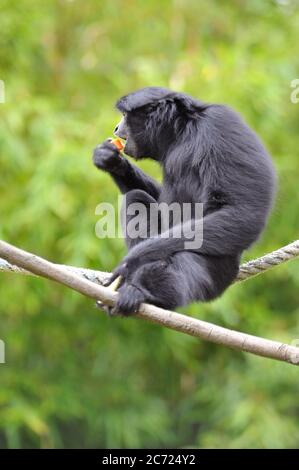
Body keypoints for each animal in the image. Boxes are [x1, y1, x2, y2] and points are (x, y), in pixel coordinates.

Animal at [92, 88, 278, 316]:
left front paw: (133, 260)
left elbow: (244, 213)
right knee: (136, 199)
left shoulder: (221, 123)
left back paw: (143, 291)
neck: (183, 134)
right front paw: (111, 160)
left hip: (221, 270)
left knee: (188, 256)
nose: (117, 127)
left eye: (126, 116)